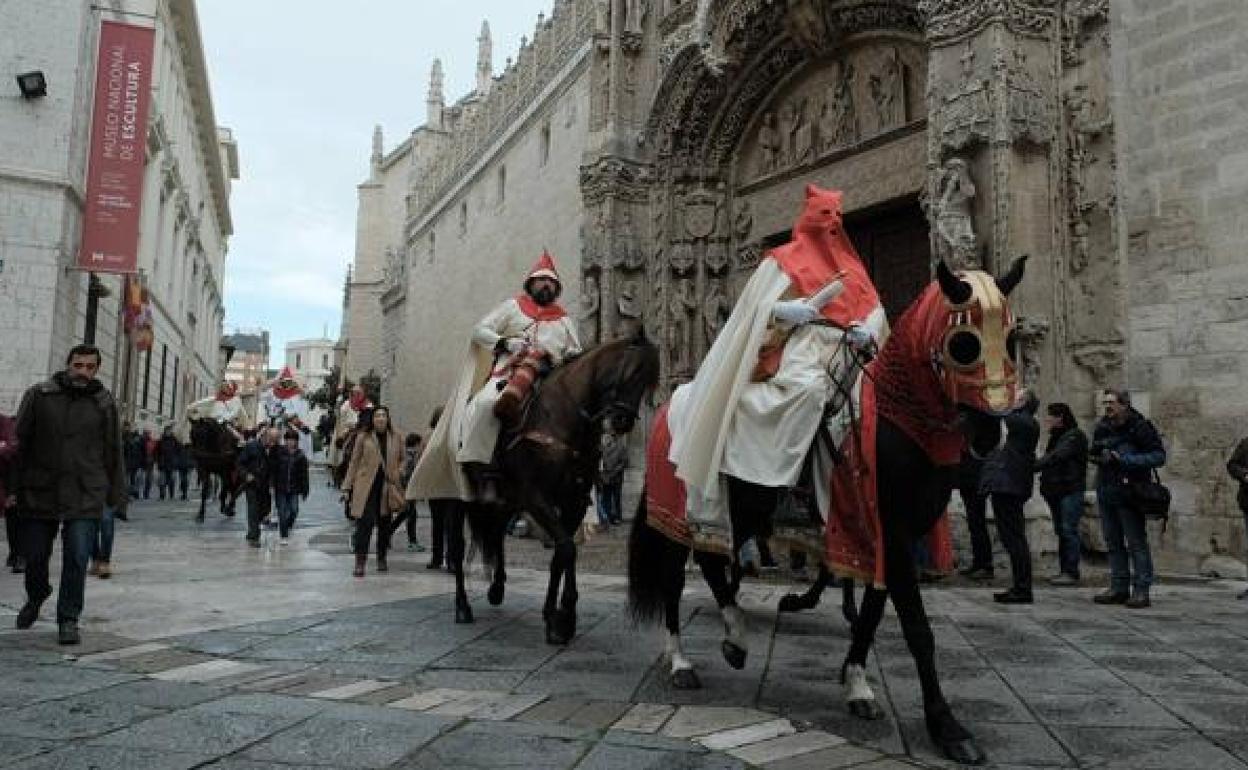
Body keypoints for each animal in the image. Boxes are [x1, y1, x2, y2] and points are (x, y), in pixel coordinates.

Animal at [459, 326, 663, 643]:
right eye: (631, 371)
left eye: (648, 382)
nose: (622, 421)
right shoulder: (536, 498)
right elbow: (567, 549)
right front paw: (564, 614)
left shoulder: (574, 501)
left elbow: (561, 554)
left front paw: (556, 616)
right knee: (458, 549)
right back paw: (463, 607)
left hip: (507, 499)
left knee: (497, 534)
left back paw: (497, 588)